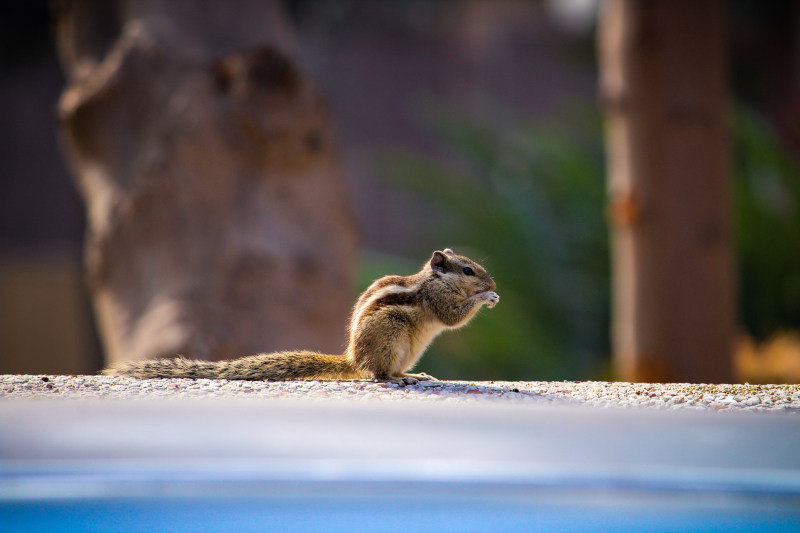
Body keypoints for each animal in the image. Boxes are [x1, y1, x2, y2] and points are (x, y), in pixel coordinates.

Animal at [103, 247, 496, 384]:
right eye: (468, 271)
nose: (492, 282)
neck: (435, 279)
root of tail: (353, 358)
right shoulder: (437, 300)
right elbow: (453, 318)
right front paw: (486, 297)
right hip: (390, 336)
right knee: (377, 374)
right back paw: (396, 379)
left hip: (407, 349)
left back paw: (415, 375)